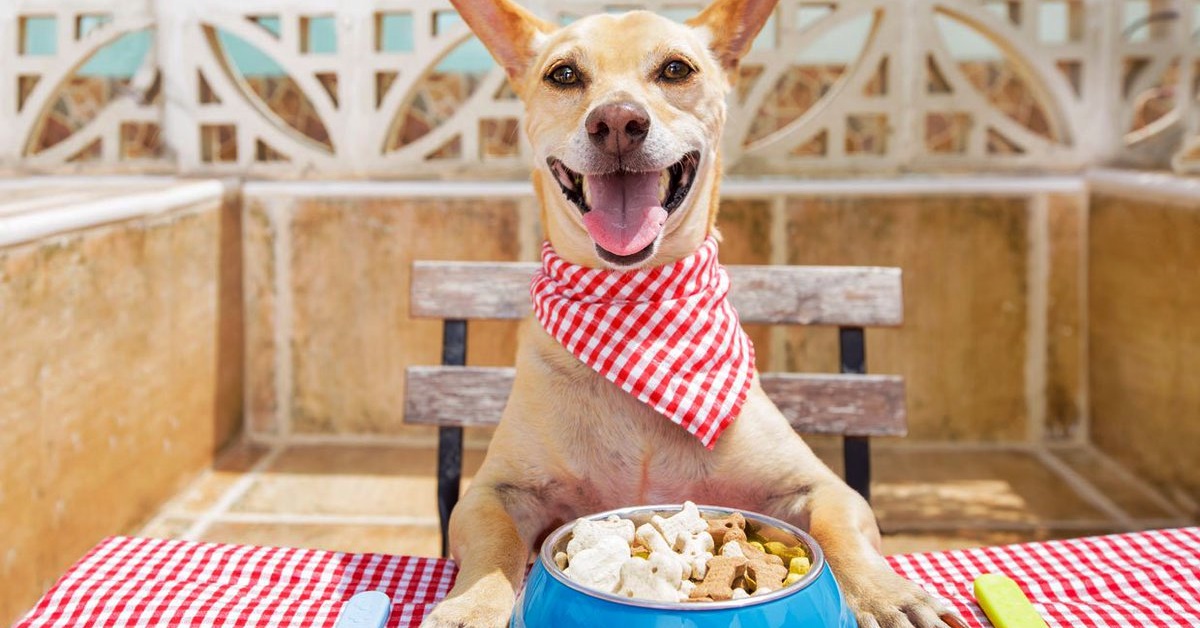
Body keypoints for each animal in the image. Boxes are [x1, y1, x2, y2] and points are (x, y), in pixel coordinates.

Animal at [420, 1, 964, 628]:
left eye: (676, 68)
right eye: (564, 74)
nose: (617, 122)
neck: (636, 309)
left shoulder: (824, 488)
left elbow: (840, 531)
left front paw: (886, 593)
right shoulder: (492, 493)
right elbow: (496, 545)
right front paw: (473, 604)